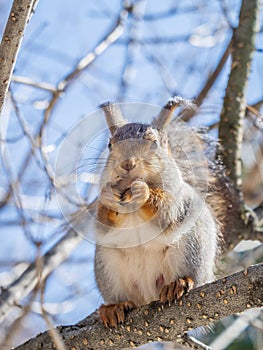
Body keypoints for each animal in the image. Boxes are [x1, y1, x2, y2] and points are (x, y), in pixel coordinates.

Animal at [94, 97, 230, 326]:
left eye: (154, 143)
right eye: (110, 144)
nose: (127, 163)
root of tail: (149, 294)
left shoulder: (178, 200)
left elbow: (166, 213)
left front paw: (143, 191)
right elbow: (103, 224)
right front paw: (108, 197)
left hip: (190, 246)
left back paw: (179, 283)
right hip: (108, 265)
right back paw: (115, 307)